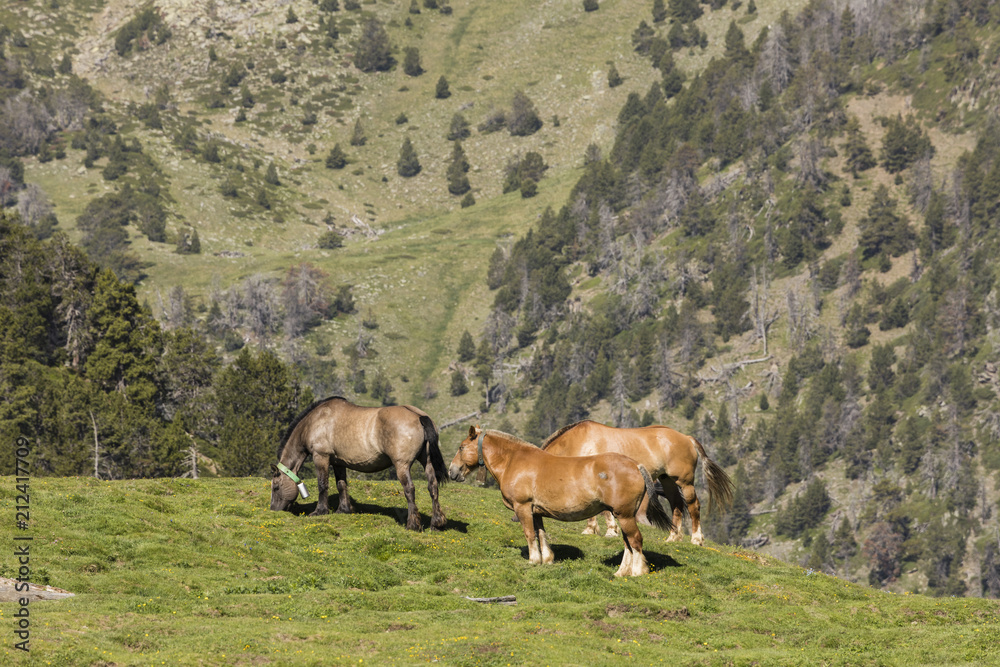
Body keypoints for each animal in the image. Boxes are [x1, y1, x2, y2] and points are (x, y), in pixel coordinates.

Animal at [272, 396, 448, 532]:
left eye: (275, 487)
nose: (273, 509)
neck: (317, 420)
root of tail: (418, 416)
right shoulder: (338, 463)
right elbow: (341, 485)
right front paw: (343, 510)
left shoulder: (321, 457)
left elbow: (322, 485)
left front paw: (320, 511)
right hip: (427, 461)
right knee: (433, 487)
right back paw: (436, 524)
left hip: (402, 465)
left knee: (409, 489)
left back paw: (412, 525)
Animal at [452, 428, 672, 580]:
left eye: (461, 447)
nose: (452, 471)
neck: (513, 461)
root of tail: (636, 465)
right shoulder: (536, 512)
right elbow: (541, 534)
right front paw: (546, 559)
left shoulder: (523, 507)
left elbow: (530, 534)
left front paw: (533, 560)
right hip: (622, 515)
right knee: (628, 543)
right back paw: (621, 572)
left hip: (624, 515)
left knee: (635, 540)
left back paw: (637, 571)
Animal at [540, 422, 736, 548]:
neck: (579, 442)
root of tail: (687, 438)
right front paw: (592, 529)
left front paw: (609, 531)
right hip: (667, 480)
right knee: (676, 505)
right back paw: (673, 537)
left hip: (685, 481)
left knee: (693, 506)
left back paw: (696, 539)